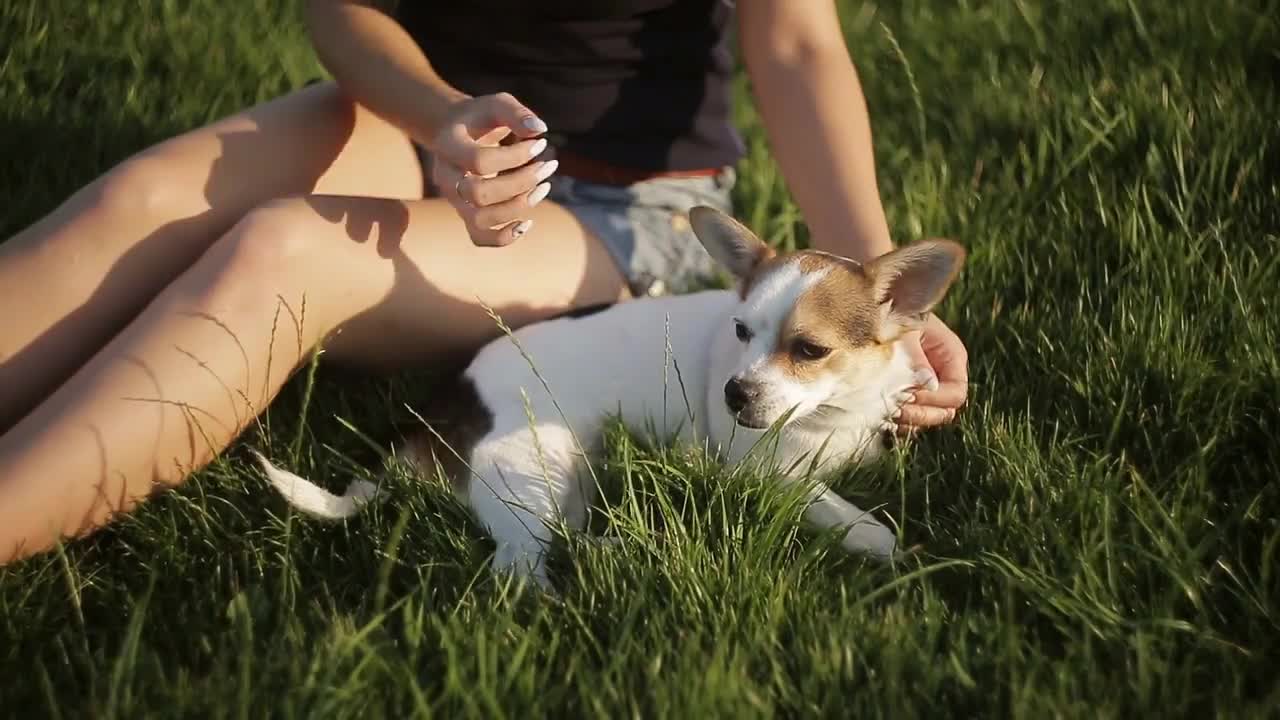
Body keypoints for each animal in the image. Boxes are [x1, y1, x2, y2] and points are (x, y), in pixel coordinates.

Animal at [249, 204, 962, 586]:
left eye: (809, 351)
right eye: (741, 331)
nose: (733, 394)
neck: (827, 416)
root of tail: (435, 423)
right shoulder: (763, 473)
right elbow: (840, 511)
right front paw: (884, 544)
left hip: (571, 473)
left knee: (566, 535)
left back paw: (624, 549)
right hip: (533, 469)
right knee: (519, 563)